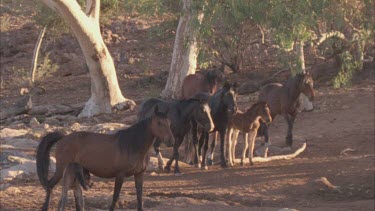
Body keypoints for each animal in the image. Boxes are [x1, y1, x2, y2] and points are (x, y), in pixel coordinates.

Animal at [36, 106, 175, 211]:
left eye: (169, 123)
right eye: (159, 123)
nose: (171, 141)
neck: (132, 145)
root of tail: (64, 137)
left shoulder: (139, 174)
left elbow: (139, 197)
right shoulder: (120, 175)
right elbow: (115, 196)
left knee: (74, 191)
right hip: (62, 170)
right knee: (50, 186)